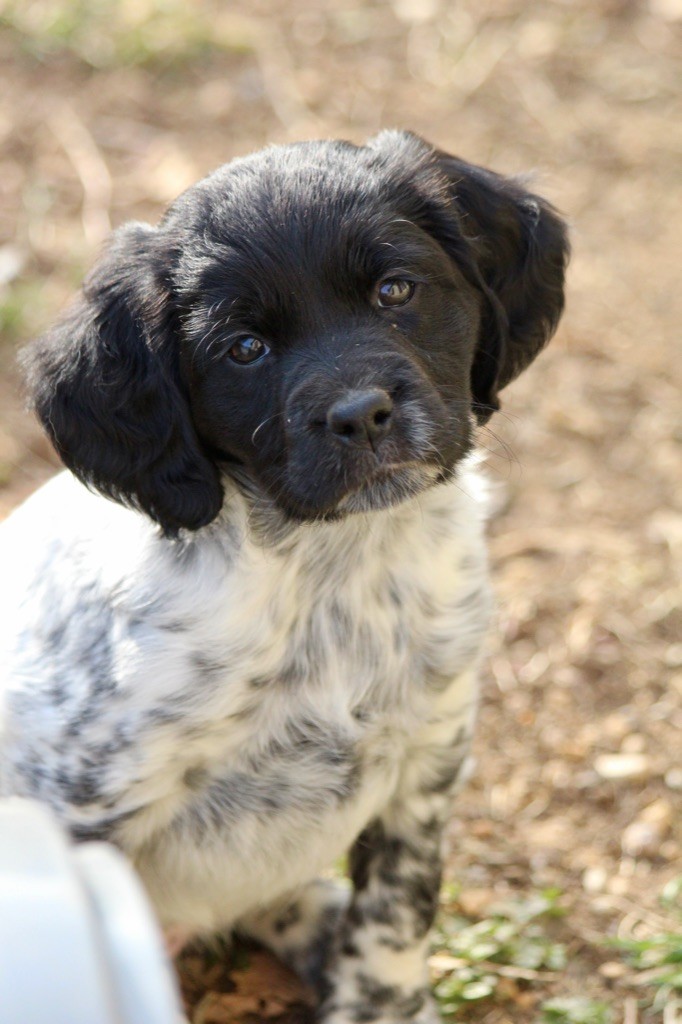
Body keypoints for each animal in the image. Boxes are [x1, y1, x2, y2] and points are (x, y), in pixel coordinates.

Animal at [0, 131, 568, 1023]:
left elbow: (398, 906)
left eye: (395, 290)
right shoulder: (79, 799)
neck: (333, 573)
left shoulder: (433, 745)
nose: (362, 415)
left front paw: (379, 1001)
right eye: (244, 349)